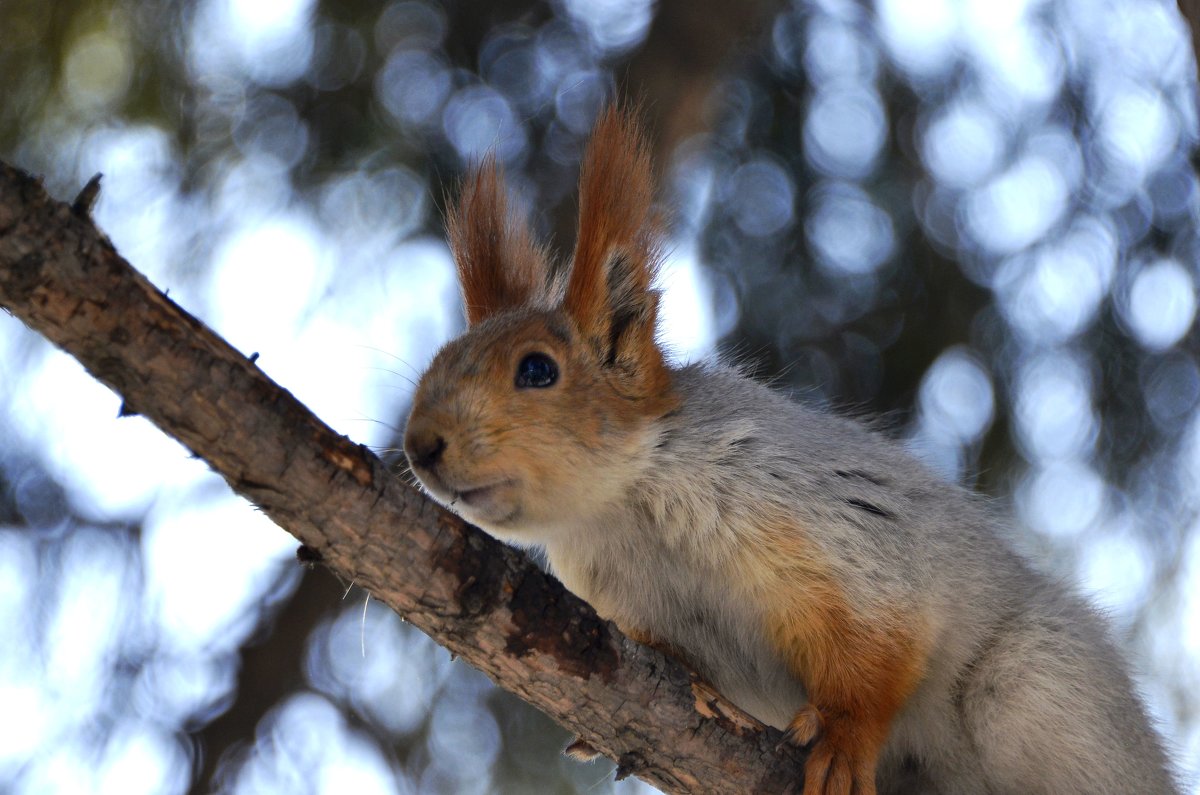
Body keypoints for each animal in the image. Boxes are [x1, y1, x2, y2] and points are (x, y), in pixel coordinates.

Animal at [405, 107, 1180, 795]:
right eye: (436, 357)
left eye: (537, 370)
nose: (420, 446)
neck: (624, 508)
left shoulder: (822, 522)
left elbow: (880, 647)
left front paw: (843, 738)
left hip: (1036, 684)